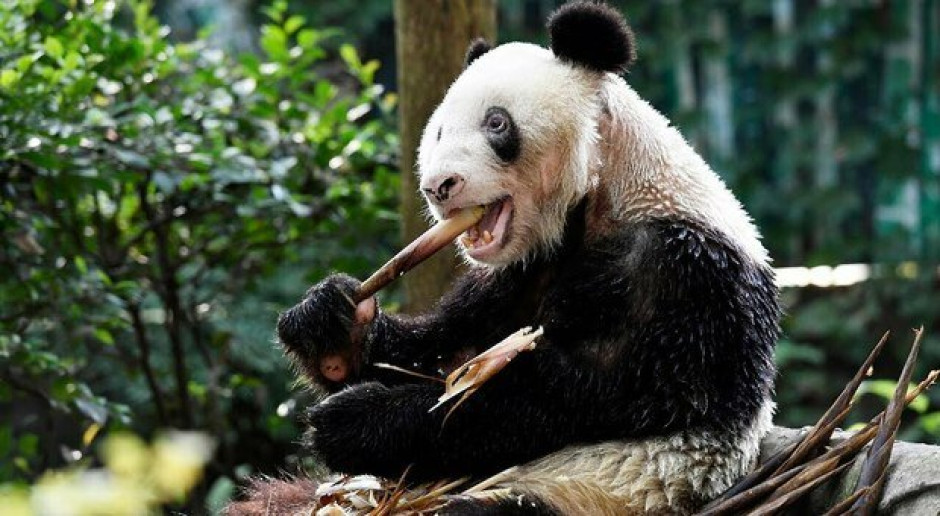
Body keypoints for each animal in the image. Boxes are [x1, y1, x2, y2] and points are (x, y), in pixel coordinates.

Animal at [262, 2, 780, 514]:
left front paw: (356, 420)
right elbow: (449, 351)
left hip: (595, 490)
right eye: (439, 131)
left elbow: (571, 397)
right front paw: (330, 324)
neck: (606, 191)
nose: (438, 186)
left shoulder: (681, 278)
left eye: (497, 123)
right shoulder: (520, 268)